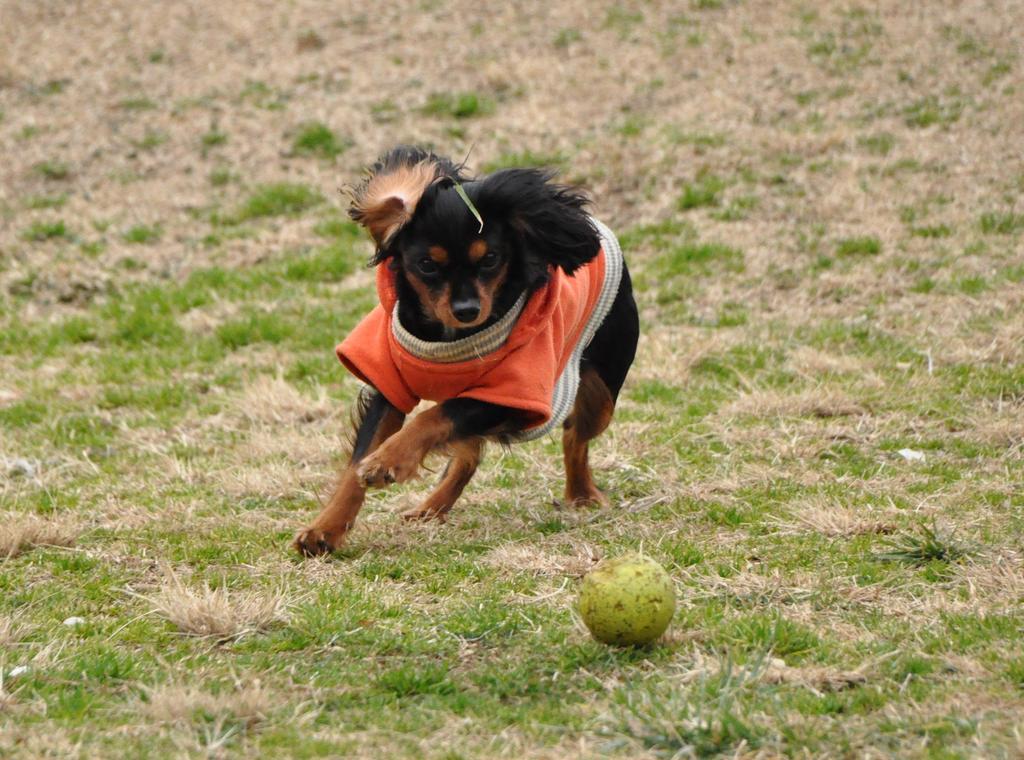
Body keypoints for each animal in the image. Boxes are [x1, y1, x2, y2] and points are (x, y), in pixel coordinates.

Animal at [292, 145, 634, 557]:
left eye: (490, 259)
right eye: (426, 265)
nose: (467, 310)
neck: (448, 338)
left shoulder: (508, 396)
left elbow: (432, 418)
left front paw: (389, 460)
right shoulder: (388, 385)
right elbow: (358, 462)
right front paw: (325, 529)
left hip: (600, 397)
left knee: (575, 436)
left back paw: (581, 493)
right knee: (468, 456)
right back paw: (431, 508)